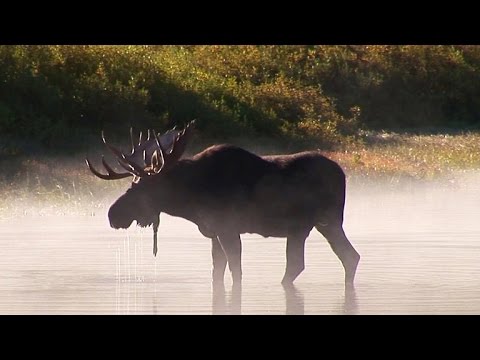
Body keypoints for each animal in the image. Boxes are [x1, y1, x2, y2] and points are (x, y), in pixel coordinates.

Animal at [85, 121, 360, 286]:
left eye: (141, 188)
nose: (113, 215)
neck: (190, 199)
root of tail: (342, 174)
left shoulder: (229, 227)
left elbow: (235, 271)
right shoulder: (214, 232)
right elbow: (218, 271)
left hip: (315, 223)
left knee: (305, 263)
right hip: (320, 225)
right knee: (348, 257)